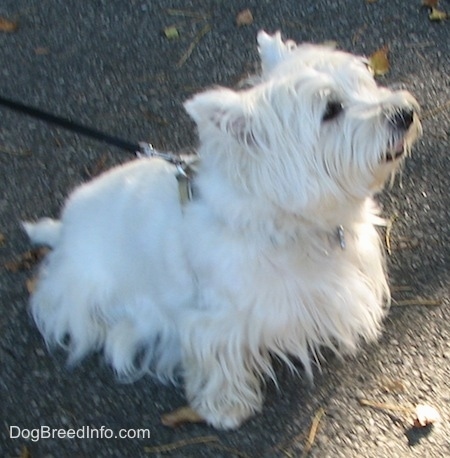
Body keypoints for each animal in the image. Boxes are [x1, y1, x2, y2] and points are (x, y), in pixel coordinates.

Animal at [23, 32, 422, 430]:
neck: (284, 219)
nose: (405, 113)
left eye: (363, 82)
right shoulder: (218, 318)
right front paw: (227, 408)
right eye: (331, 111)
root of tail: (63, 228)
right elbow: (217, 356)